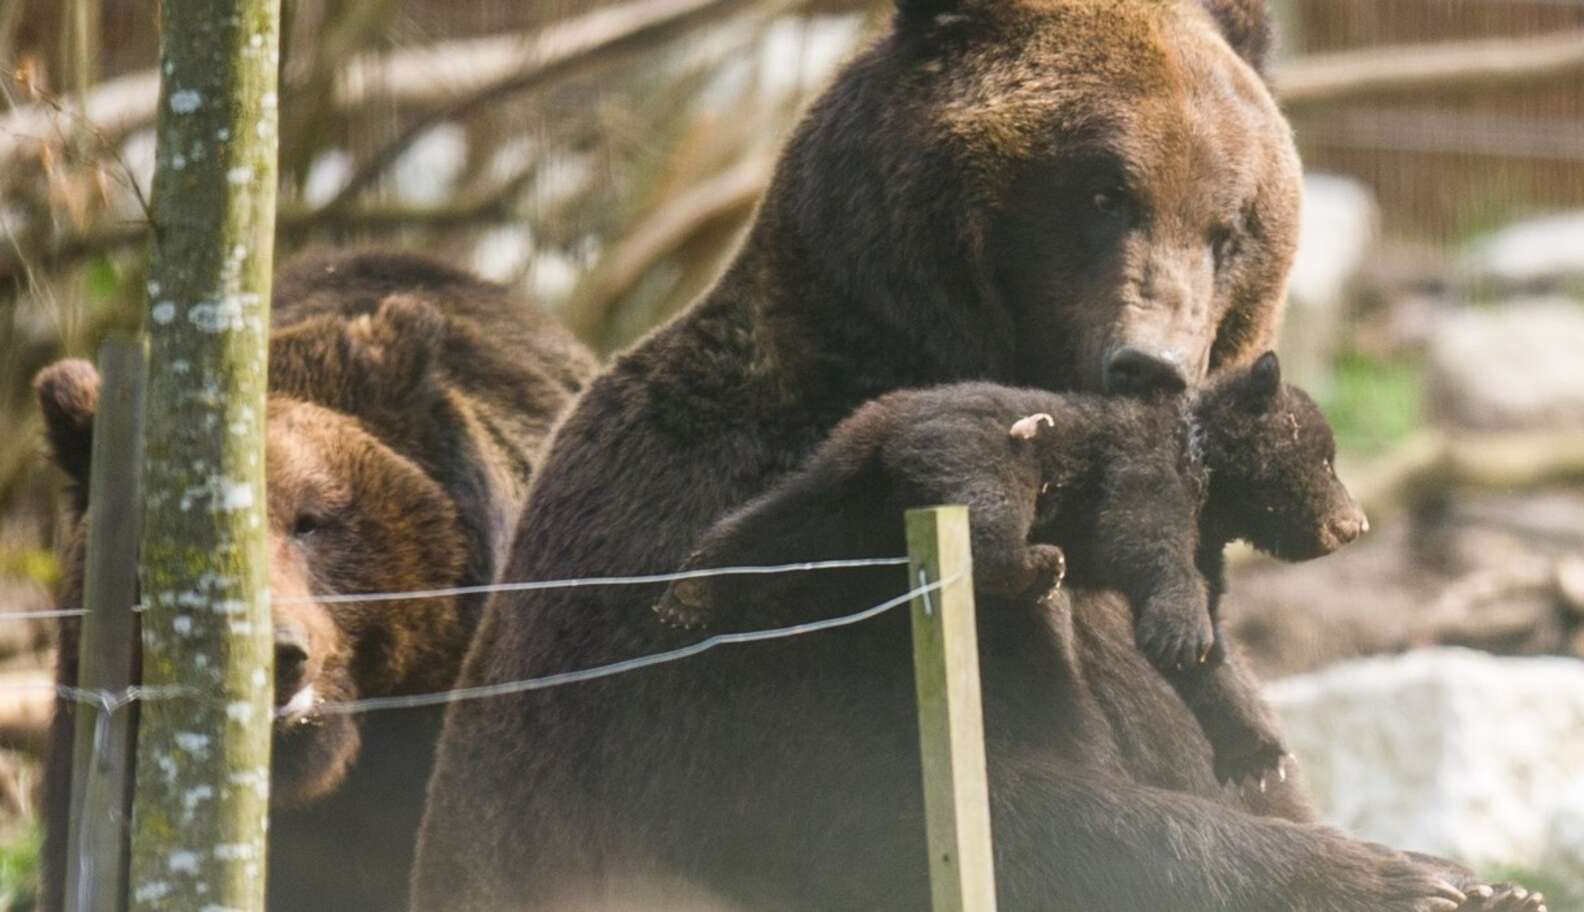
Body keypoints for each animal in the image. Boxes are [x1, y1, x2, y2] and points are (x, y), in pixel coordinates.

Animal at [655, 353, 1362, 788]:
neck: (1211, 479)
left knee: (773, 523)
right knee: (991, 510)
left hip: (842, 489)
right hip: (992, 452)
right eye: (1326, 459)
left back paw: (690, 592)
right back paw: (1034, 566)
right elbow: (1143, 537)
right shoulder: (1142, 468)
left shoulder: (1208, 543)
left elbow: (1214, 647)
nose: (1354, 524)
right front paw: (1180, 630)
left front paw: (1256, 752)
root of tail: (886, 424)